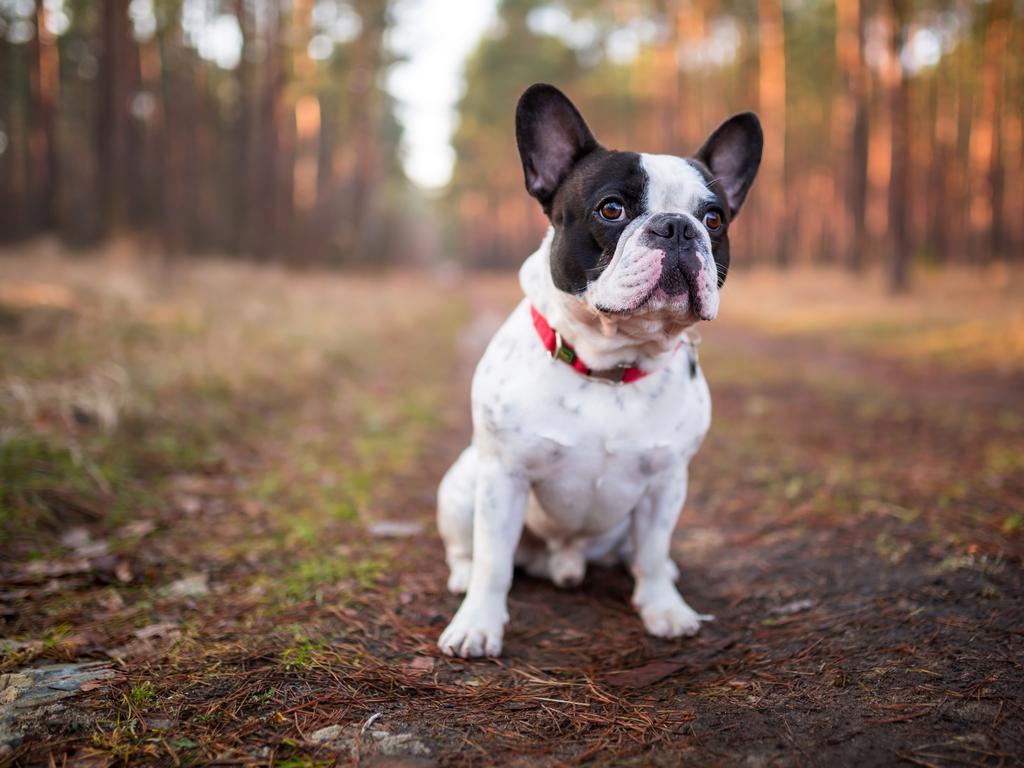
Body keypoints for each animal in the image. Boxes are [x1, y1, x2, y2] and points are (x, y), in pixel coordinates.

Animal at [436, 85, 765, 663]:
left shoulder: (666, 484)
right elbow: (494, 562)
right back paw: (462, 577)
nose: (678, 227)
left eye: (714, 219)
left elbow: (652, 552)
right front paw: (477, 624)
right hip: (462, 485)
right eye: (612, 209)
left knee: (640, 554)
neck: (611, 362)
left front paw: (664, 610)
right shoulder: (504, 477)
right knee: (468, 550)